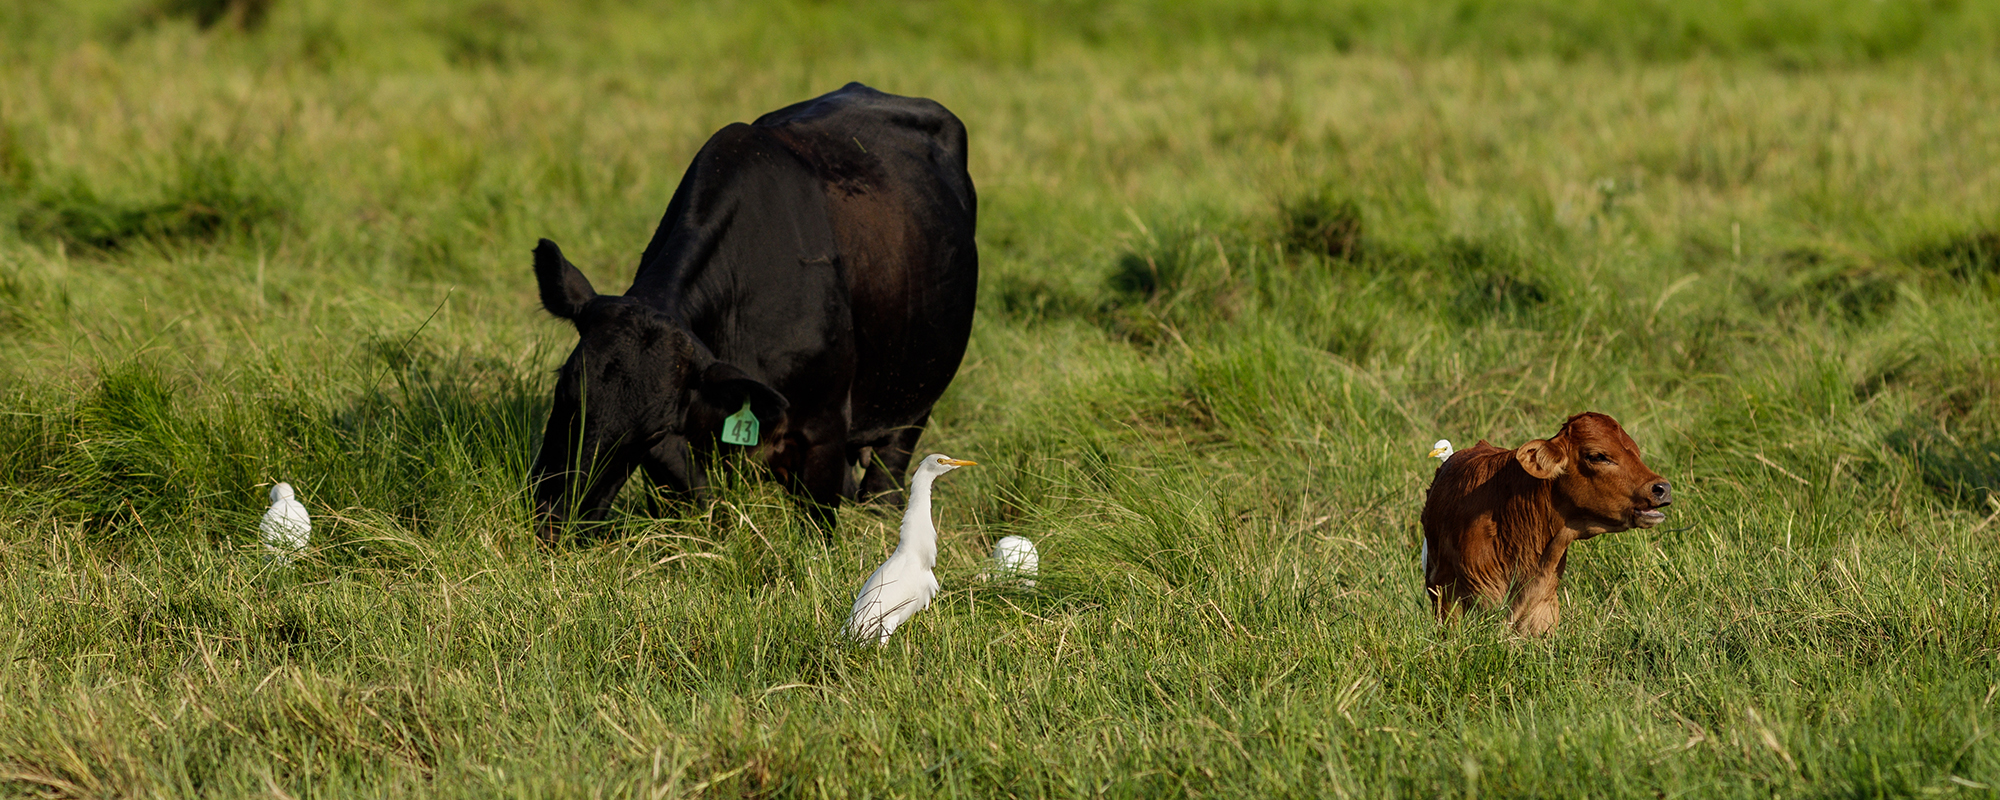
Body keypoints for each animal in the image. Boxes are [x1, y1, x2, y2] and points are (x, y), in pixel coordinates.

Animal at [528, 83, 972, 536]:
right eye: (565, 391)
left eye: (650, 431)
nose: (556, 518)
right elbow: (699, 500)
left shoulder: (824, 433)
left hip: (914, 403)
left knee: (886, 480)